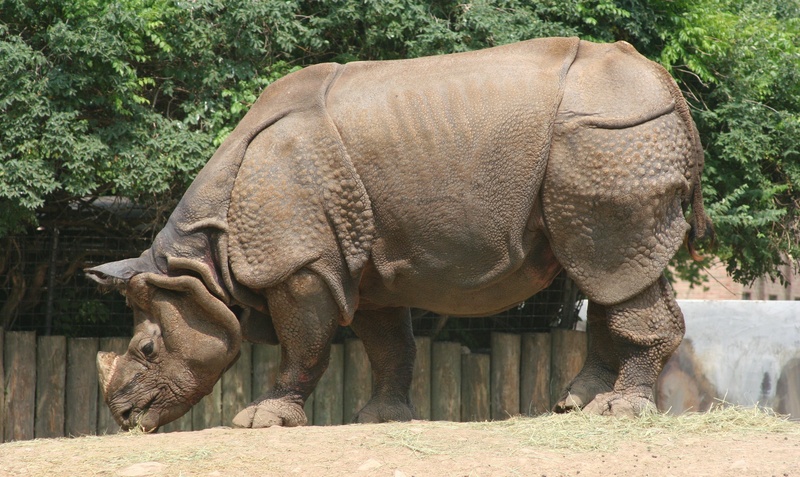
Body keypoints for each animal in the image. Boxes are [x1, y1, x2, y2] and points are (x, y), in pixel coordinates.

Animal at [86, 37, 713, 432]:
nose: (124, 418)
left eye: (146, 350)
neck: (199, 264)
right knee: (604, 269)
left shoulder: (300, 264)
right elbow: (389, 343)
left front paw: (261, 421)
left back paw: (619, 412)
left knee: (611, 261)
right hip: (610, 141)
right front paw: (379, 418)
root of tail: (669, 87)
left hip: (611, 138)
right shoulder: (364, 265)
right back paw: (576, 407)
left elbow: (302, 344)